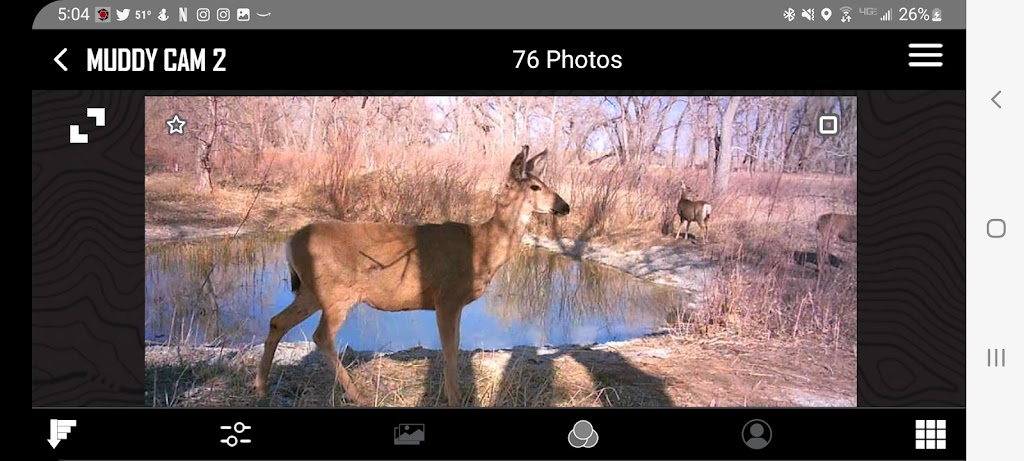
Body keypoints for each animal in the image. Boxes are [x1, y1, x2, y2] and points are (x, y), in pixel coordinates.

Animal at [247, 145, 569, 407]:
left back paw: (260, 388)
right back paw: (358, 395)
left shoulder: (454, 302)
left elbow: (455, 344)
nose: (564, 206)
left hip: (311, 291)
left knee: (277, 321)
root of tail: (290, 242)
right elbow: (450, 347)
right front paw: (454, 397)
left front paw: (452, 393)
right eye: (536, 186)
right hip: (337, 291)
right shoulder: (447, 296)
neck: (482, 248)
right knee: (321, 336)